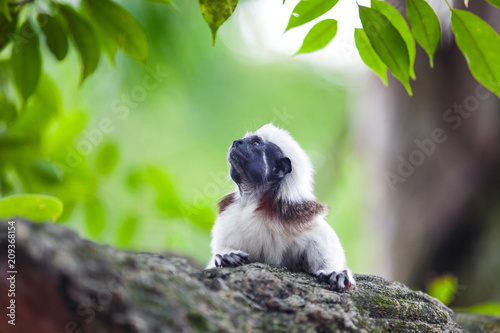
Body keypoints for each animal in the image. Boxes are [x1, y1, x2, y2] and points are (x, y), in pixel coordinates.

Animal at [207, 122, 356, 290]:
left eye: (255, 143)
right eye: (244, 140)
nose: (236, 142)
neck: (254, 199)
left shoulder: (298, 215)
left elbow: (323, 241)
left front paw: (334, 272)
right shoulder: (230, 215)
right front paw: (227, 256)